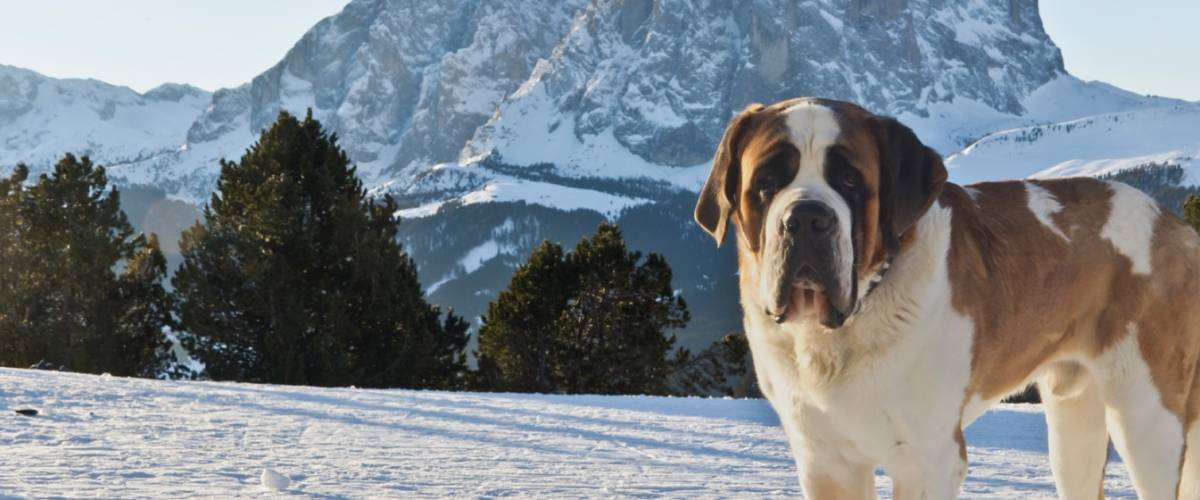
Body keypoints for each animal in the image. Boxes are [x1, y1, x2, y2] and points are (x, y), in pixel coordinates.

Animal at [696, 95, 1200, 496]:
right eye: (766, 182)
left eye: (850, 181)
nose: (806, 218)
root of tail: (1174, 226)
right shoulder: (826, 462)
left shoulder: (929, 459)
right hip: (1073, 419)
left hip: (1146, 417)